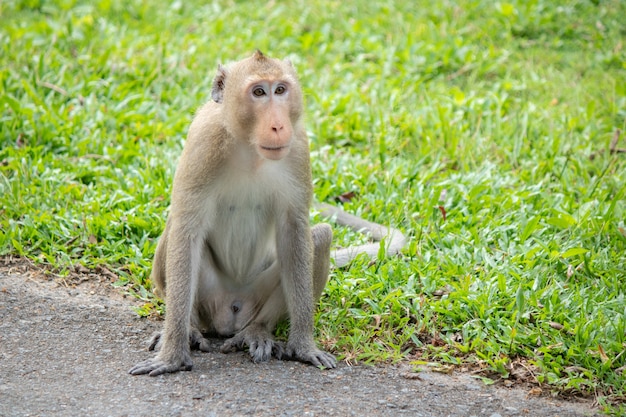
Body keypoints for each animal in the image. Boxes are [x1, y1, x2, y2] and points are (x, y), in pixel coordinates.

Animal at [129, 50, 404, 376]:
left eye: (281, 90)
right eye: (259, 92)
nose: (278, 126)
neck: (250, 150)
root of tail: (229, 316)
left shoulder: (298, 147)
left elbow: (294, 231)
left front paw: (303, 346)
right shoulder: (202, 143)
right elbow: (187, 230)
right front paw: (172, 354)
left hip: (254, 297)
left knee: (319, 237)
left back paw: (257, 330)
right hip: (210, 297)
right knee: (177, 233)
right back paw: (192, 329)